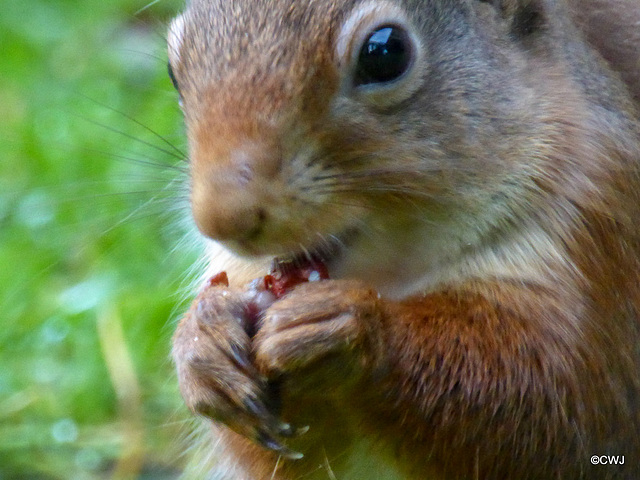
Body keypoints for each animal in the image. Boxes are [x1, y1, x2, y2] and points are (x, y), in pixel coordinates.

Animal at [168, 0, 636, 478]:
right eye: (173, 71)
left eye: (385, 53)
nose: (222, 219)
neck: (390, 275)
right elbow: (294, 457)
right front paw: (203, 342)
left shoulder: (594, 247)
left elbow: (558, 415)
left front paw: (352, 326)